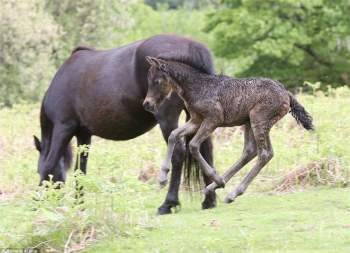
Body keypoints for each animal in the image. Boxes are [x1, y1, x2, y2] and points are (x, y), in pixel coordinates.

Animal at [34, 34, 216, 214]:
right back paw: (209, 200)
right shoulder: (84, 135)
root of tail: (192, 47)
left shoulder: (63, 128)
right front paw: (79, 206)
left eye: (37, 171)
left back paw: (168, 204)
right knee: (200, 151)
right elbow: (80, 170)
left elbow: (50, 163)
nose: (42, 202)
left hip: (167, 120)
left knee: (178, 154)